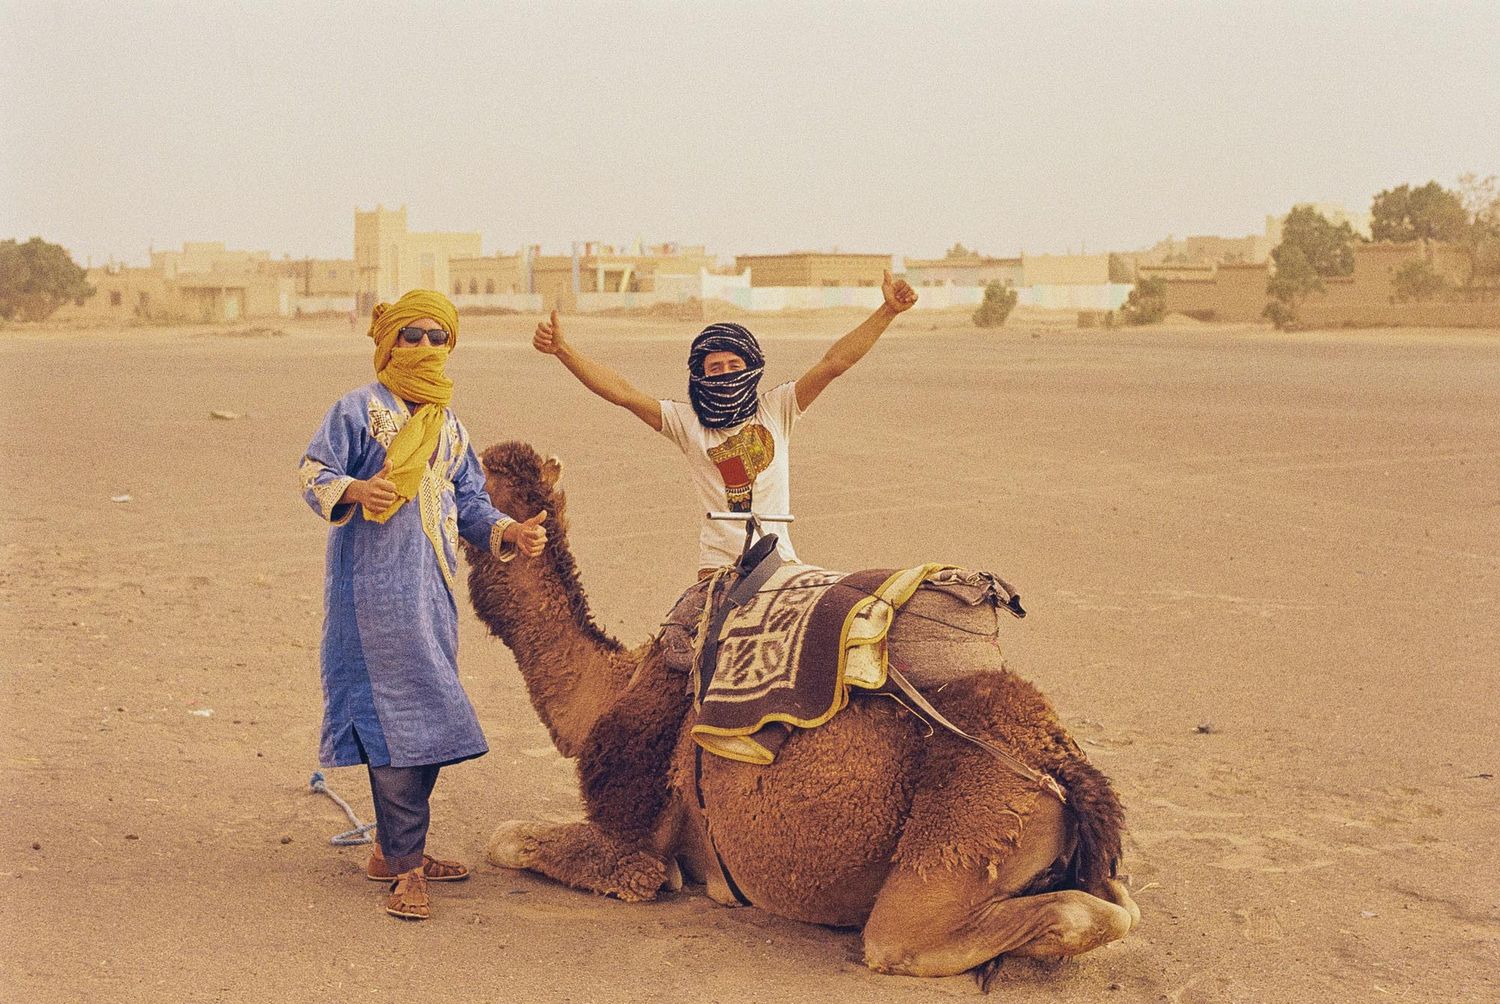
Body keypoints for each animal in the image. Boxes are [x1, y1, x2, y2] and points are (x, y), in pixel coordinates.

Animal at [463, 442, 1139, 983]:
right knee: (1117, 900)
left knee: (934, 934)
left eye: (482, 480)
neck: (611, 684)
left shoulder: (636, 834)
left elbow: (510, 840)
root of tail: (1055, 759)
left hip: (962, 835)